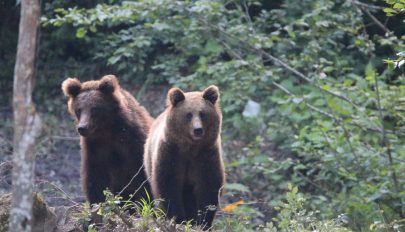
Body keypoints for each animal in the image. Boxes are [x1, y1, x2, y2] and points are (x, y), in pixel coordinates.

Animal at [61, 75, 153, 206]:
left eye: (94, 108)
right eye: (79, 109)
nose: (82, 128)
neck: (107, 130)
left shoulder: (133, 142)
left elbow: (143, 178)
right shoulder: (94, 148)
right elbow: (95, 180)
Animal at [143, 85, 226, 230]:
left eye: (202, 113)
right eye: (188, 114)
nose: (197, 130)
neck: (191, 148)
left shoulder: (206, 156)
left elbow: (209, 187)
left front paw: (203, 221)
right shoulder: (171, 154)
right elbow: (168, 186)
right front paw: (178, 219)